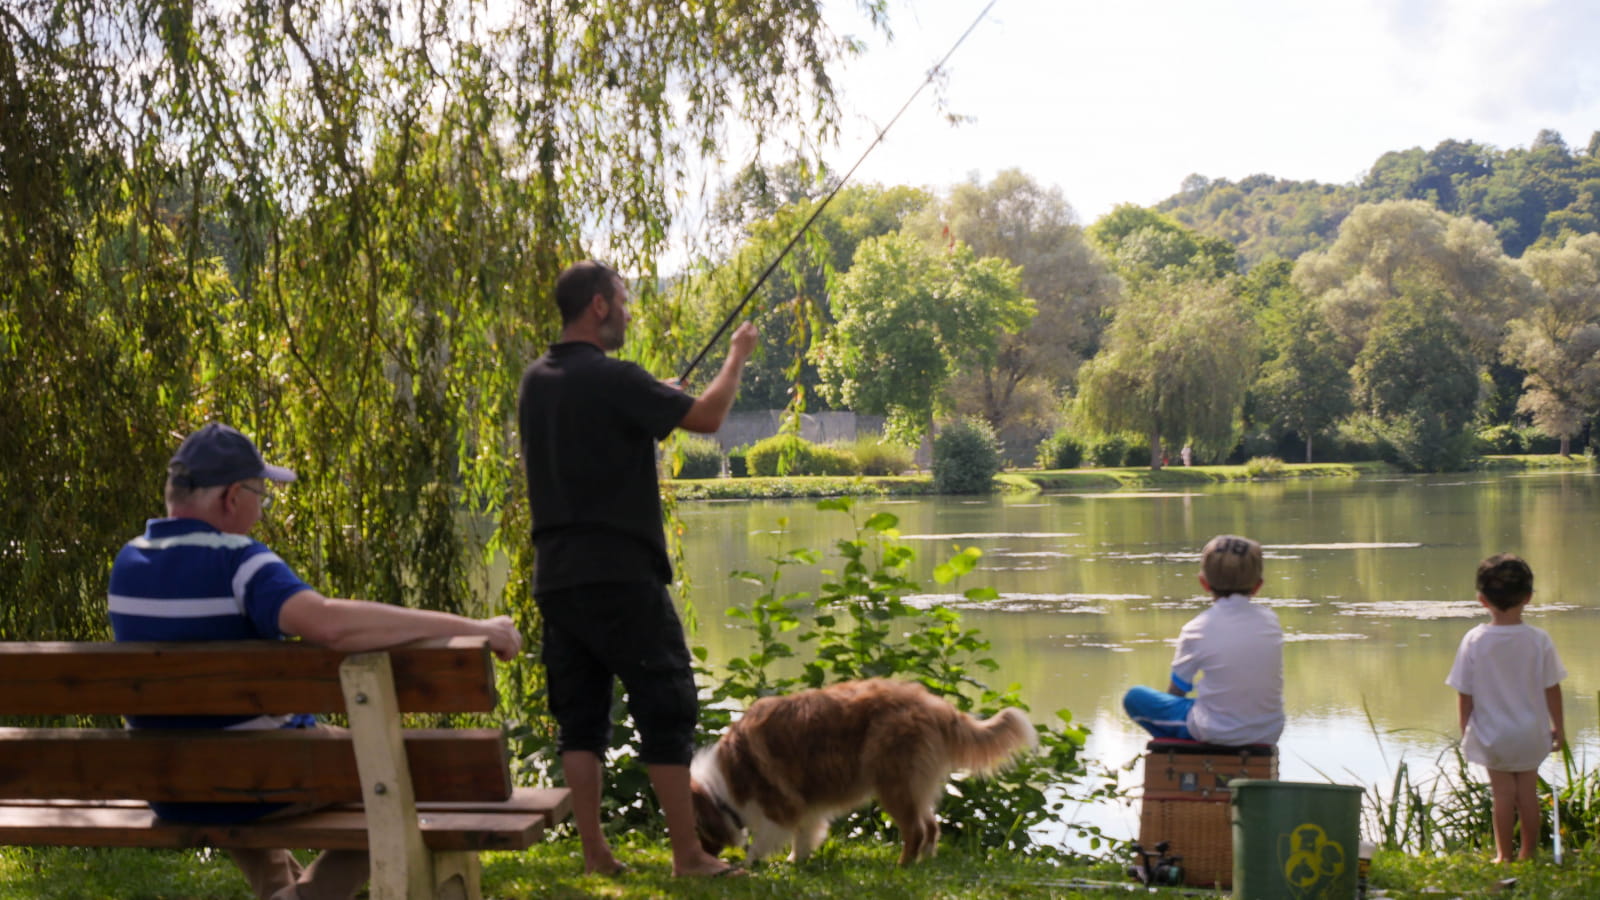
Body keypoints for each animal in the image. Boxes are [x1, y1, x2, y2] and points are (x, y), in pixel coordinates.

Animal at [688, 679, 1036, 864]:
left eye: (699, 833)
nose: (704, 859)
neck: (723, 787)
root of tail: (935, 705)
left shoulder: (781, 807)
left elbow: (764, 840)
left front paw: (749, 865)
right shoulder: (807, 807)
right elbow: (804, 835)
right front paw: (795, 862)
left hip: (893, 782)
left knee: (916, 830)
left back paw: (902, 867)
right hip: (915, 785)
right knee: (931, 825)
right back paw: (923, 862)